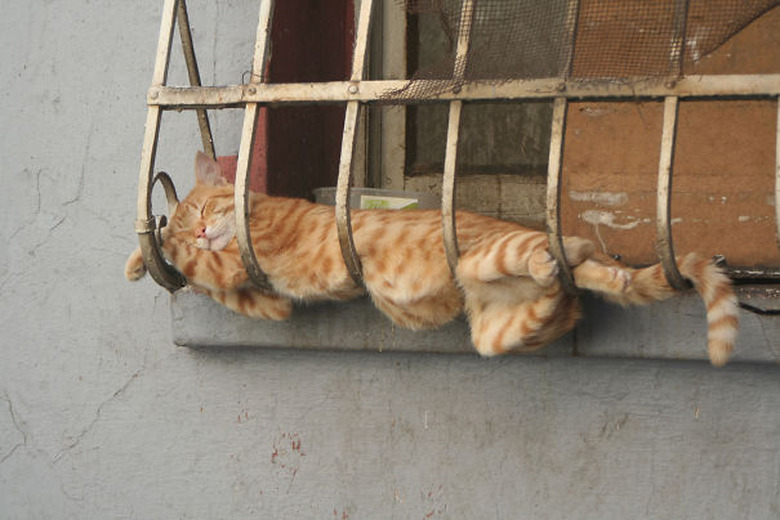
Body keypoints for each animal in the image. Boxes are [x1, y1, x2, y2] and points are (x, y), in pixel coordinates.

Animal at [125, 151, 740, 366]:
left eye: (206, 207)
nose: (202, 229)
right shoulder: (264, 301)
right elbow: (201, 282)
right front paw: (144, 258)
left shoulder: (236, 261)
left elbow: (192, 263)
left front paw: (154, 245)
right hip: (493, 329)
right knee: (569, 293)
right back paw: (574, 274)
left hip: (495, 253)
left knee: (567, 252)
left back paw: (563, 251)